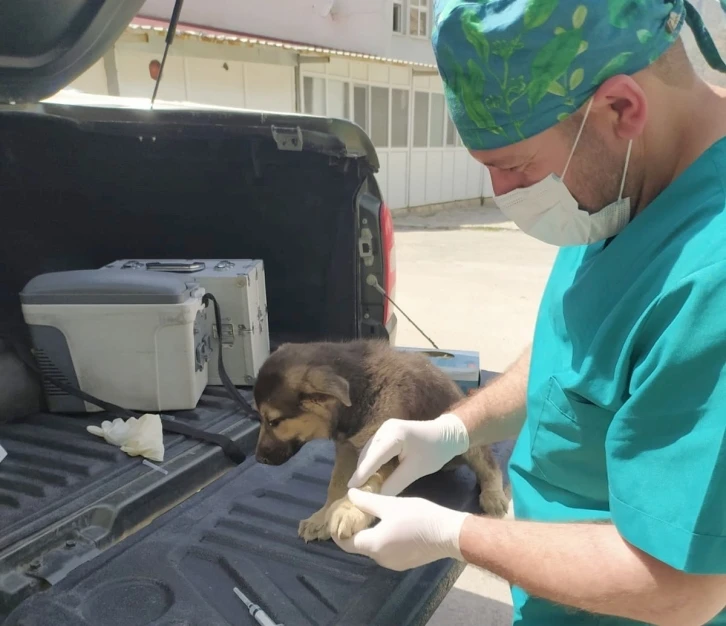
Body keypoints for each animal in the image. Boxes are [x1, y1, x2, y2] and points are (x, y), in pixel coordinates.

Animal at [253, 336, 510, 540]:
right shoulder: (347, 447)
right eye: (261, 419)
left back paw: (493, 495)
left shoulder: (385, 451)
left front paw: (348, 510)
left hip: (466, 436)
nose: (258, 460)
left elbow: (367, 484)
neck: (362, 390)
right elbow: (336, 483)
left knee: (489, 465)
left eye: (274, 421)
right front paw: (321, 518)